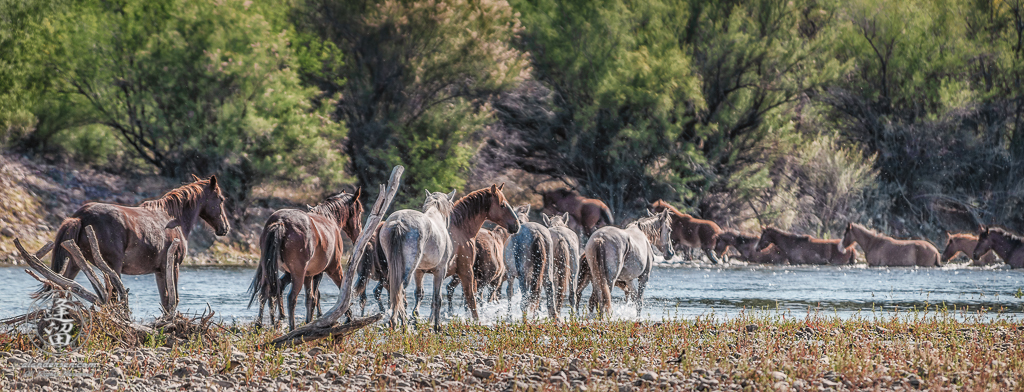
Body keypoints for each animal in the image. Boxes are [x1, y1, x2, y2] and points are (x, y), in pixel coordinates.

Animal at [48, 175, 230, 313]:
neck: (175, 219)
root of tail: (80, 216)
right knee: (111, 298)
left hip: (75, 263)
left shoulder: (160, 271)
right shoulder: (174, 266)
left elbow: (165, 300)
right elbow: (174, 300)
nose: (225, 227)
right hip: (112, 267)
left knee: (63, 288)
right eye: (221, 199)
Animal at [380, 190, 456, 331]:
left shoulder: (419, 271)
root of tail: (399, 222)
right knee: (401, 291)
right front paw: (437, 326)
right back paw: (402, 323)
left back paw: (396, 322)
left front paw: (416, 318)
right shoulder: (440, 271)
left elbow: (419, 294)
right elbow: (437, 299)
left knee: (395, 291)